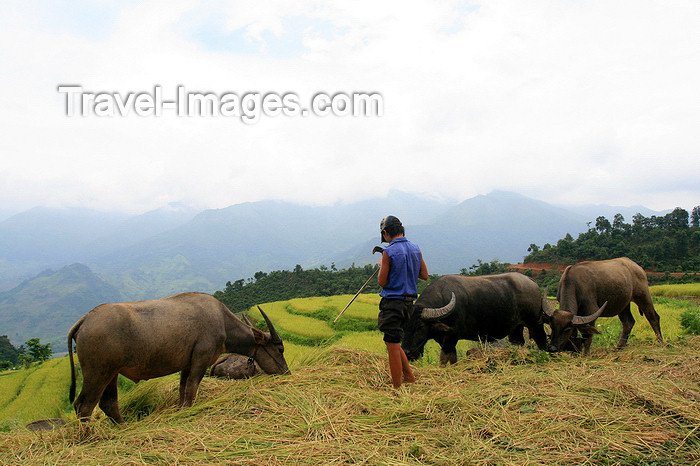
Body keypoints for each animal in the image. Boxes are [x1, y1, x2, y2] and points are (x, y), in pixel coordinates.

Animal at [69, 294, 290, 424]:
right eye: (280, 349)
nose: (286, 372)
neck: (222, 323)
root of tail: (85, 320)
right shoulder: (201, 361)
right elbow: (192, 388)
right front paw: (187, 411)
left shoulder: (187, 364)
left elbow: (183, 389)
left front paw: (180, 408)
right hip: (98, 373)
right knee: (84, 406)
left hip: (112, 374)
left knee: (108, 404)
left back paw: (124, 427)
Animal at [402, 274, 548, 364]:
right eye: (404, 327)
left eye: (420, 327)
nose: (407, 353)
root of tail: (532, 282)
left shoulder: (451, 338)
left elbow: (446, 360)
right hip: (516, 327)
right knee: (518, 342)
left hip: (534, 323)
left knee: (541, 340)